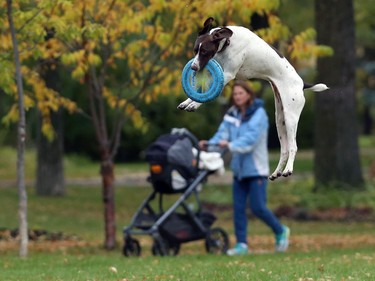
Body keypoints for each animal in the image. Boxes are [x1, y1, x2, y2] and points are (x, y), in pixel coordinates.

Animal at [179, 17, 328, 179]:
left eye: (204, 51)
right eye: (195, 50)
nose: (193, 67)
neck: (228, 43)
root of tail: (301, 83)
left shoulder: (228, 74)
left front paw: (194, 104)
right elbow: (200, 91)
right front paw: (187, 102)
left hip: (291, 118)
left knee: (293, 147)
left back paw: (288, 170)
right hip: (280, 120)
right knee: (284, 149)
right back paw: (276, 172)